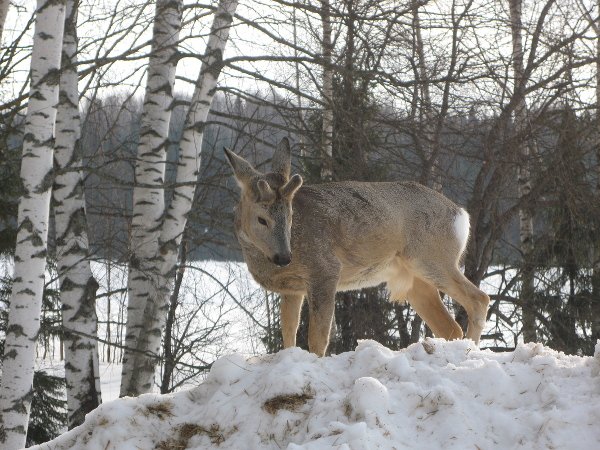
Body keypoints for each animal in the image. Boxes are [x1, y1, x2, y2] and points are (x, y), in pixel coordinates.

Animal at [223, 139, 490, 356]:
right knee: (451, 327)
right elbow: (288, 332)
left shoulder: (325, 270)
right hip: (416, 281)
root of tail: (461, 214)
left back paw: (472, 350)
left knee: (479, 299)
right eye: (262, 219)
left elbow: (318, 337)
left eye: (289, 215)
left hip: (432, 257)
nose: (283, 257)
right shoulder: (292, 288)